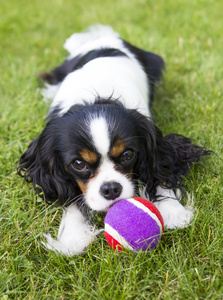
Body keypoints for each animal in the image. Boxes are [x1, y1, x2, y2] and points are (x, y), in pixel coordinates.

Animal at [17, 25, 209, 255]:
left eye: (127, 154)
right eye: (78, 164)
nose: (111, 189)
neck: (96, 99)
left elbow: (160, 169)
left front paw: (173, 210)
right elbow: (70, 197)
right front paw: (72, 237)